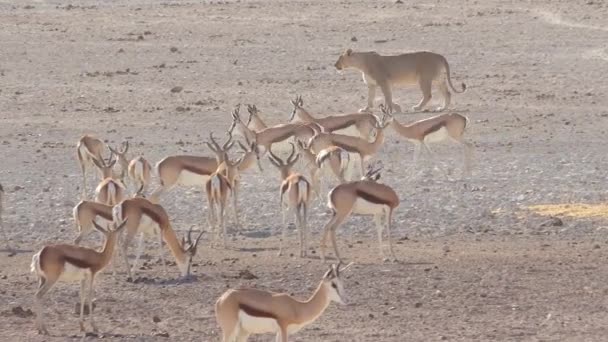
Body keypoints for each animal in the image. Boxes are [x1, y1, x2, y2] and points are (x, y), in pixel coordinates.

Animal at [215, 264, 352, 340]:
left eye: (342, 283)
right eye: (333, 284)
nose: (346, 300)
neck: (297, 307)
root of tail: (222, 298)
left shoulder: (279, 332)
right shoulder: (283, 328)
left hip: (244, 332)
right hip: (229, 330)